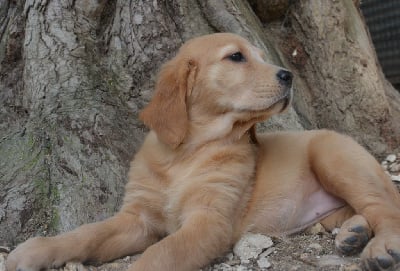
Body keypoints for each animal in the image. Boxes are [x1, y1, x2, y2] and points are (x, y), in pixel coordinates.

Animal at [6, 33, 400, 270]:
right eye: (236, 57)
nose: (289, 76)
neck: (187, 154)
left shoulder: (209, 220)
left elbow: (158, 254)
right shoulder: (137, 218)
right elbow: (87, 233)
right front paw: (34, 250)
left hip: (335, 157)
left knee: (385, 207)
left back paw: (381, 247)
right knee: (365, 209)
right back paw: (354, 233)